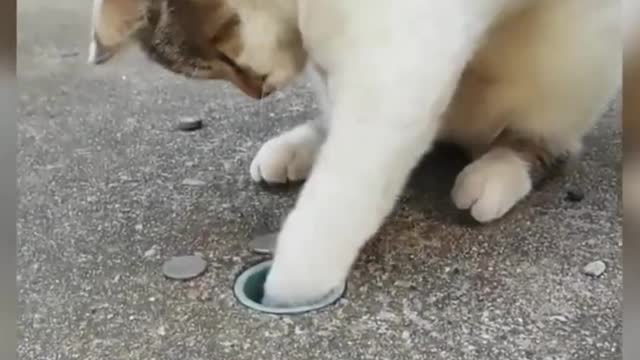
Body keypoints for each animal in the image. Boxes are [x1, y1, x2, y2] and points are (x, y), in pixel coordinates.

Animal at [90, 0, 620, 306]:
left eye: (223, 54)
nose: (259, 92)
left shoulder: (404, 53)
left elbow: (350, 179)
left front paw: (291, 284)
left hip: (569, 61)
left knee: (546, 136)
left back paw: (500, 167)